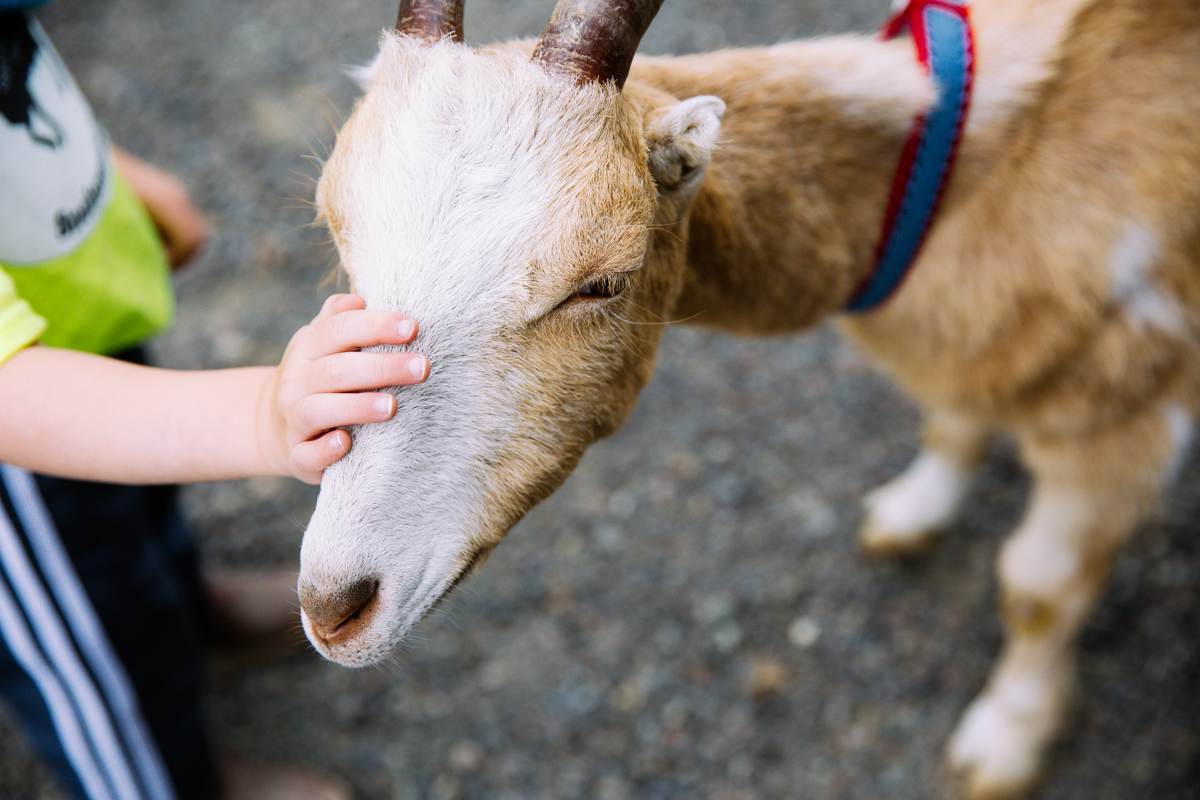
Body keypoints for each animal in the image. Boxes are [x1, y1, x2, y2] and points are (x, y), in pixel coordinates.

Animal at [297, 0, 1200, 797]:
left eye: (602, 282)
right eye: (338, 234)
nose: (333, 607)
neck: (978, 162)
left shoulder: (1126, 416)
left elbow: (1038, 590)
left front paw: (1004, 742)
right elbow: (954, 418)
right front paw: (915, 509)